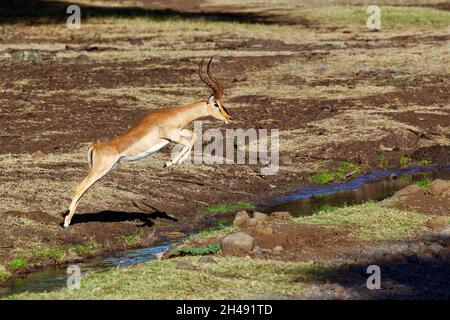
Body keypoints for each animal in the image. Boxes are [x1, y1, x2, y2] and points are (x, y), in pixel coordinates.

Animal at [63, 57, 232, 228]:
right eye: (216, 103)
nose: (229, 118)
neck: (173, 115)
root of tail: (96, 145)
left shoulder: (178, 132)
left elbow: (193, 136)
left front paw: (175, 162)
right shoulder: (171, 136)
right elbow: (188, 142)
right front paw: (169, 163)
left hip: (104, 170)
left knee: (84, 189)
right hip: (99, 170)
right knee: (80, 187)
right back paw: (66, 223)